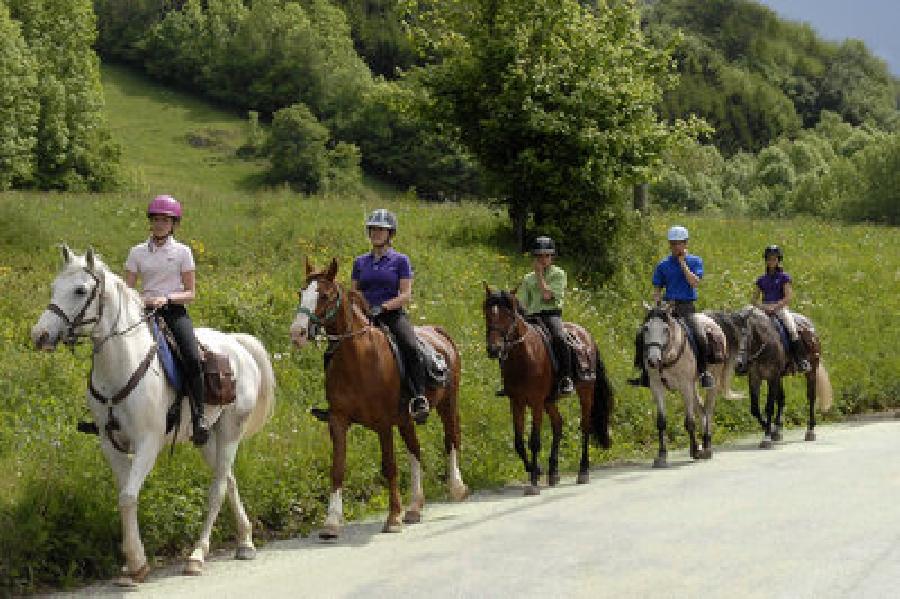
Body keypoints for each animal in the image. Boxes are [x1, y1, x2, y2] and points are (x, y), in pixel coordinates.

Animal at [30, 246, 276, 585]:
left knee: (217, 489)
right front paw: (130, 565)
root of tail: (237, 344)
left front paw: (136, 562)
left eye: (80, 290)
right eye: (54, 287)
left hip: (230, 432)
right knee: (228, 479)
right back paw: (246, 541)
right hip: (206, 437)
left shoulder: (148, 443)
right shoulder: (110, 444)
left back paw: (197, 555)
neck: (120, 366)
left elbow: (127, 497)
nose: (40, 335)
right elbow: (125, 495)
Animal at [289, 258, 468, 539]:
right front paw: (331, 522)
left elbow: (389, 466)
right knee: (415, 450)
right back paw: (415, 507)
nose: (296, 333)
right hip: (407, 419)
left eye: (325, 295)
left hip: (447, 405)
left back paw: (456, 488)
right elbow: (337, 468)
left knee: (451, 440)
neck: (357, 358)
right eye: (301, 293)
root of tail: (439, 333)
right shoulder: (338, 420)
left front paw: (393, 517)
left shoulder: (384, 424)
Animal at [482, 286, 614, 495]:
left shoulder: (535, 402)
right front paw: (536, 469)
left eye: (509, 314)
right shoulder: (516, 402)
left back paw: (583, 471)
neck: (524, 355)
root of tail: (586, 335)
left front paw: (534, 482)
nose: (494, 349)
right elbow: (518, 442)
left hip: (585, 392)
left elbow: (534, 441)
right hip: (549, 401)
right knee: (558, 424)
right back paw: (553, 472)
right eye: (487, 313)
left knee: (585, 426)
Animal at [639, 303, 727, 468]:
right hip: (693, 386)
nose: (653, 360)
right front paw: (661, 456)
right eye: (646, 328)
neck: (668, 357)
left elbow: (690, 422)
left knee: (708, 409)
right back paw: (704, 444)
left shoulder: (685, 386)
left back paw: (707, 447)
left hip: (712, 379)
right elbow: (661, 422)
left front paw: (695, 451)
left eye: (665, 329)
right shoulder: (657, 386)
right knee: (701, 409)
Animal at [725, 305, 832, 448]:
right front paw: (771, 431)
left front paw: (766, 438)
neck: (764, 343)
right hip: (780, 378)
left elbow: (769, 407)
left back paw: (810, 431)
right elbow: (755, 409)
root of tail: (810, 327)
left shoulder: (773, 377)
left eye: (746, 335)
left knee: (811, 398)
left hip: (811, 371)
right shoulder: (755, 378)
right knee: (782, 399)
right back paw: (777, 429)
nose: (739, 365)